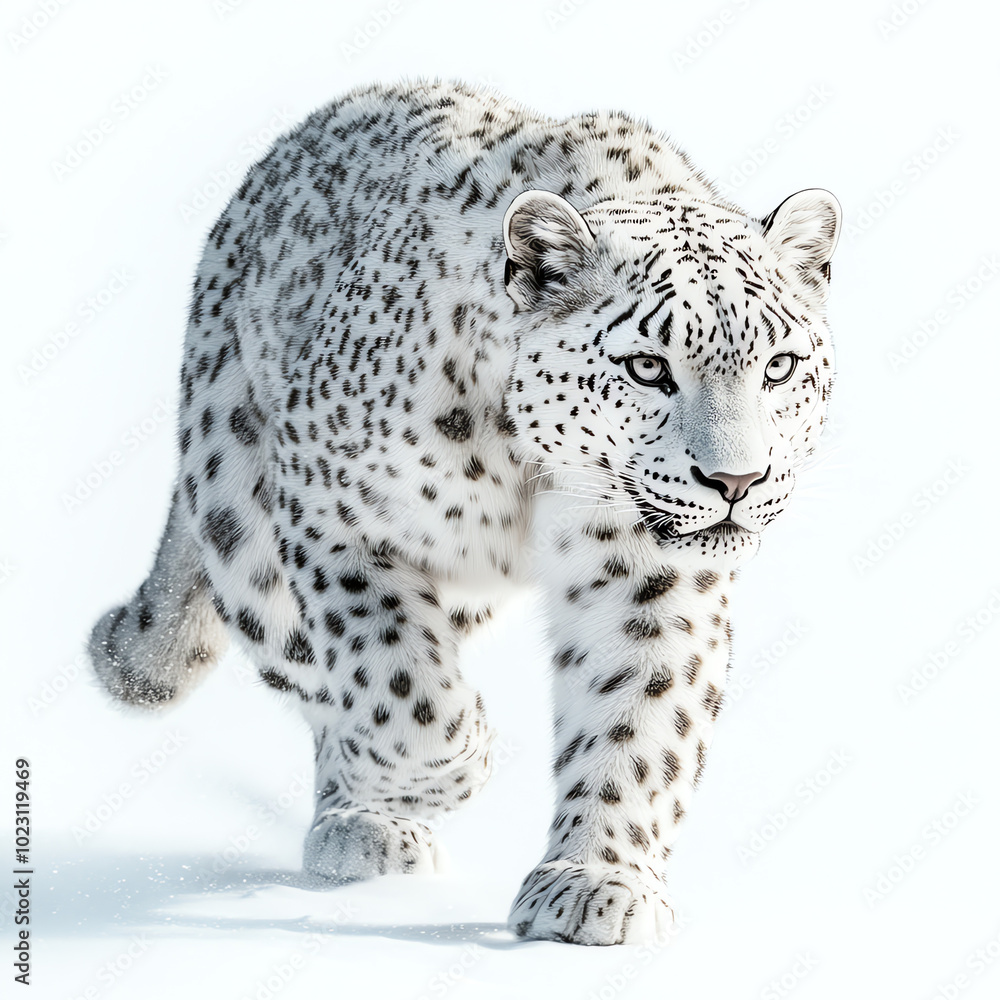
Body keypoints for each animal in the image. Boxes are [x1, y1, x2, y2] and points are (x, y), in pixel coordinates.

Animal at [88, 79, 841, 946]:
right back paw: (363, 820)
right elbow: (395, 679)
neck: (538, 479)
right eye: (649, 366)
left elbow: (640, 712)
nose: (736, 480)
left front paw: (595, 883)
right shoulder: (332, 512)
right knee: (305, 664)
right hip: (240, 513)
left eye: (778, 365)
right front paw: (443, 770)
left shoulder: (652, 575)